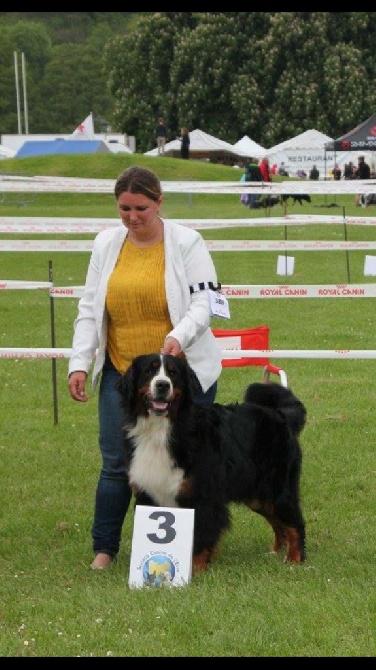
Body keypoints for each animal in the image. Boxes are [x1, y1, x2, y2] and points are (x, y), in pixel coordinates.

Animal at [119, 354, 306, 576]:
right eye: (149, 370)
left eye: (173, 373)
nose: (163, 385)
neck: (162, 430)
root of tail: (279, 414)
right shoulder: (148, 492)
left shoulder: (202, 495)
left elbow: (201, 535)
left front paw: (196, 570)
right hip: (257, 495)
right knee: (278, 522)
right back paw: (276, 551)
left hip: (276, 488)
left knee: (294, 522)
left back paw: (294, 558)